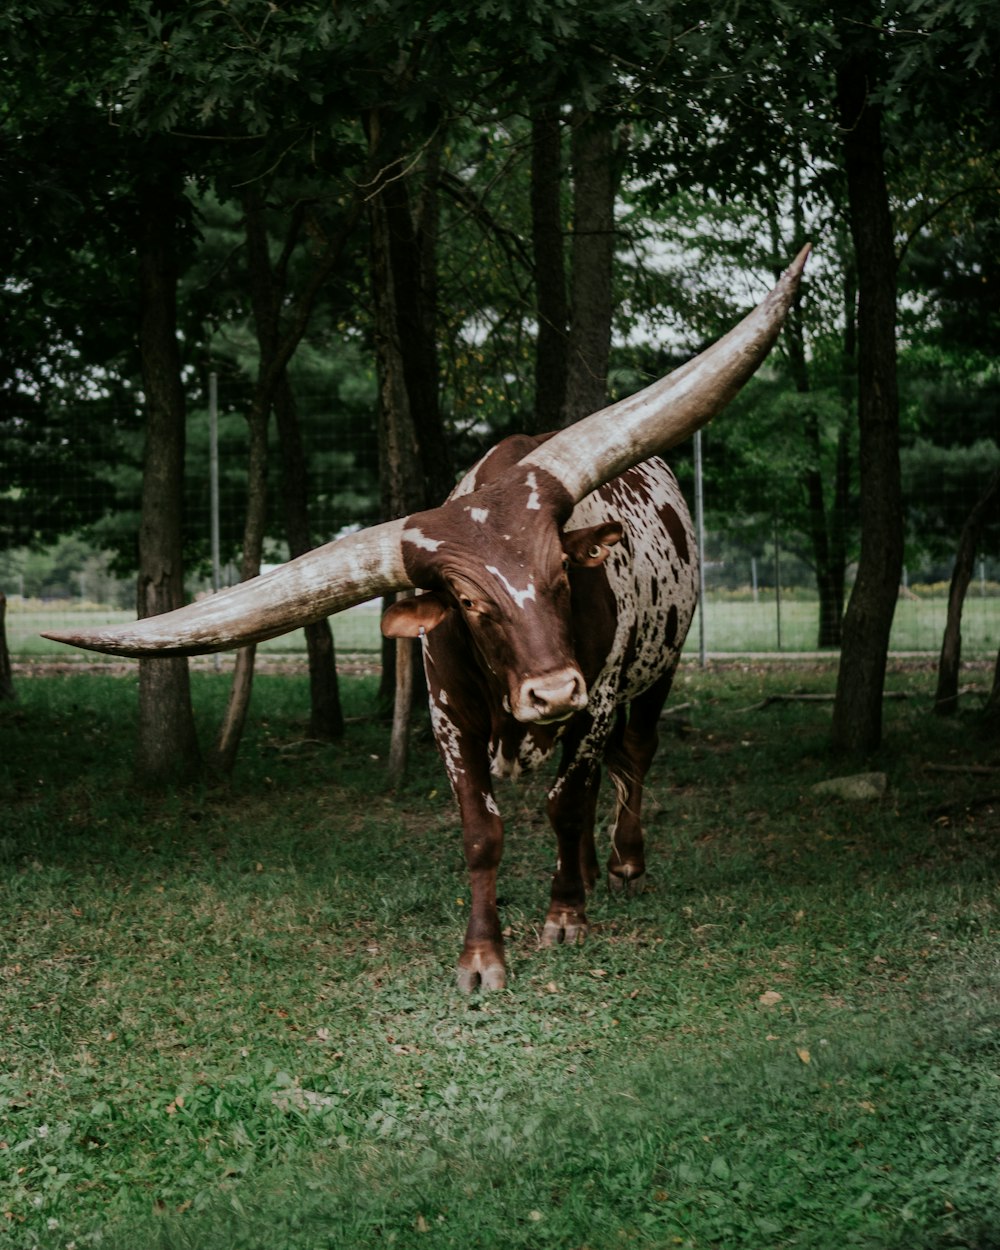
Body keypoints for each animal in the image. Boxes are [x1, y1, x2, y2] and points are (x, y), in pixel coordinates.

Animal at [48, 248, 810, 990]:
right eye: (470, 603)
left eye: (561, 576)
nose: (551, 692)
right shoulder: (449, 718)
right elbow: (481, 830)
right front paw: (482, 957)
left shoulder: (593, 703)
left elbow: (567, 802)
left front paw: (564, 916)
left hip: (659, 664)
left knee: (633, 755)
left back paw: (619, 863)